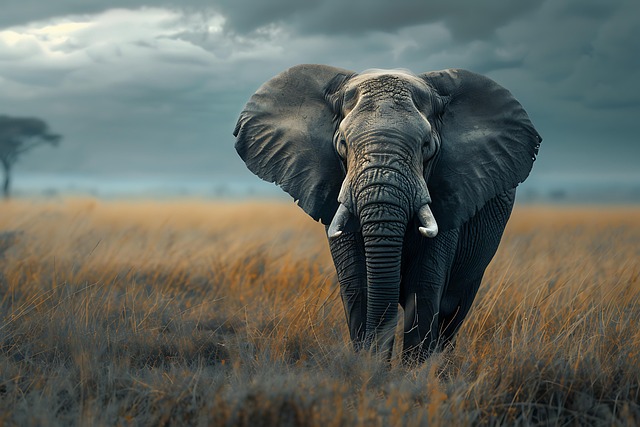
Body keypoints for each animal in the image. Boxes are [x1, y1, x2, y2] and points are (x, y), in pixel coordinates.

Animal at [233, 64, 541, 363]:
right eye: (342, 144)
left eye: (427, 146)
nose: (379, 361)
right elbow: (357, 287)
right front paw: (369, 369)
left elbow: (424, 289)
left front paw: (412, 374)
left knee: (454, 309)